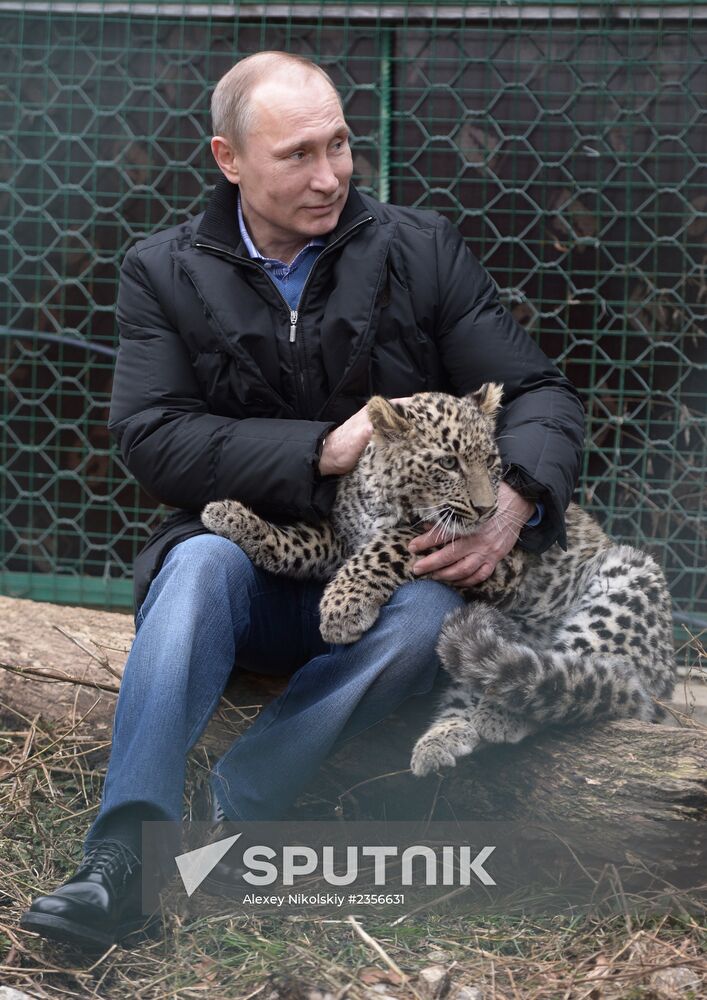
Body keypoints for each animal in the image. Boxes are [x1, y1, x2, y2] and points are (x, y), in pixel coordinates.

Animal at [201, 385, 675, 777]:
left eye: (492, 463)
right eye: (448, 463)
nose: (489, 510)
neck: (386, 499)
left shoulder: (496, 561)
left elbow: (392, 545)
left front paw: (342, 608)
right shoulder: (340, 537)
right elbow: (299, 541)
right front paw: (229, 516)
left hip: (627, 581)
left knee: (587, 676)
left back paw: (505, 714)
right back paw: (444, 739)